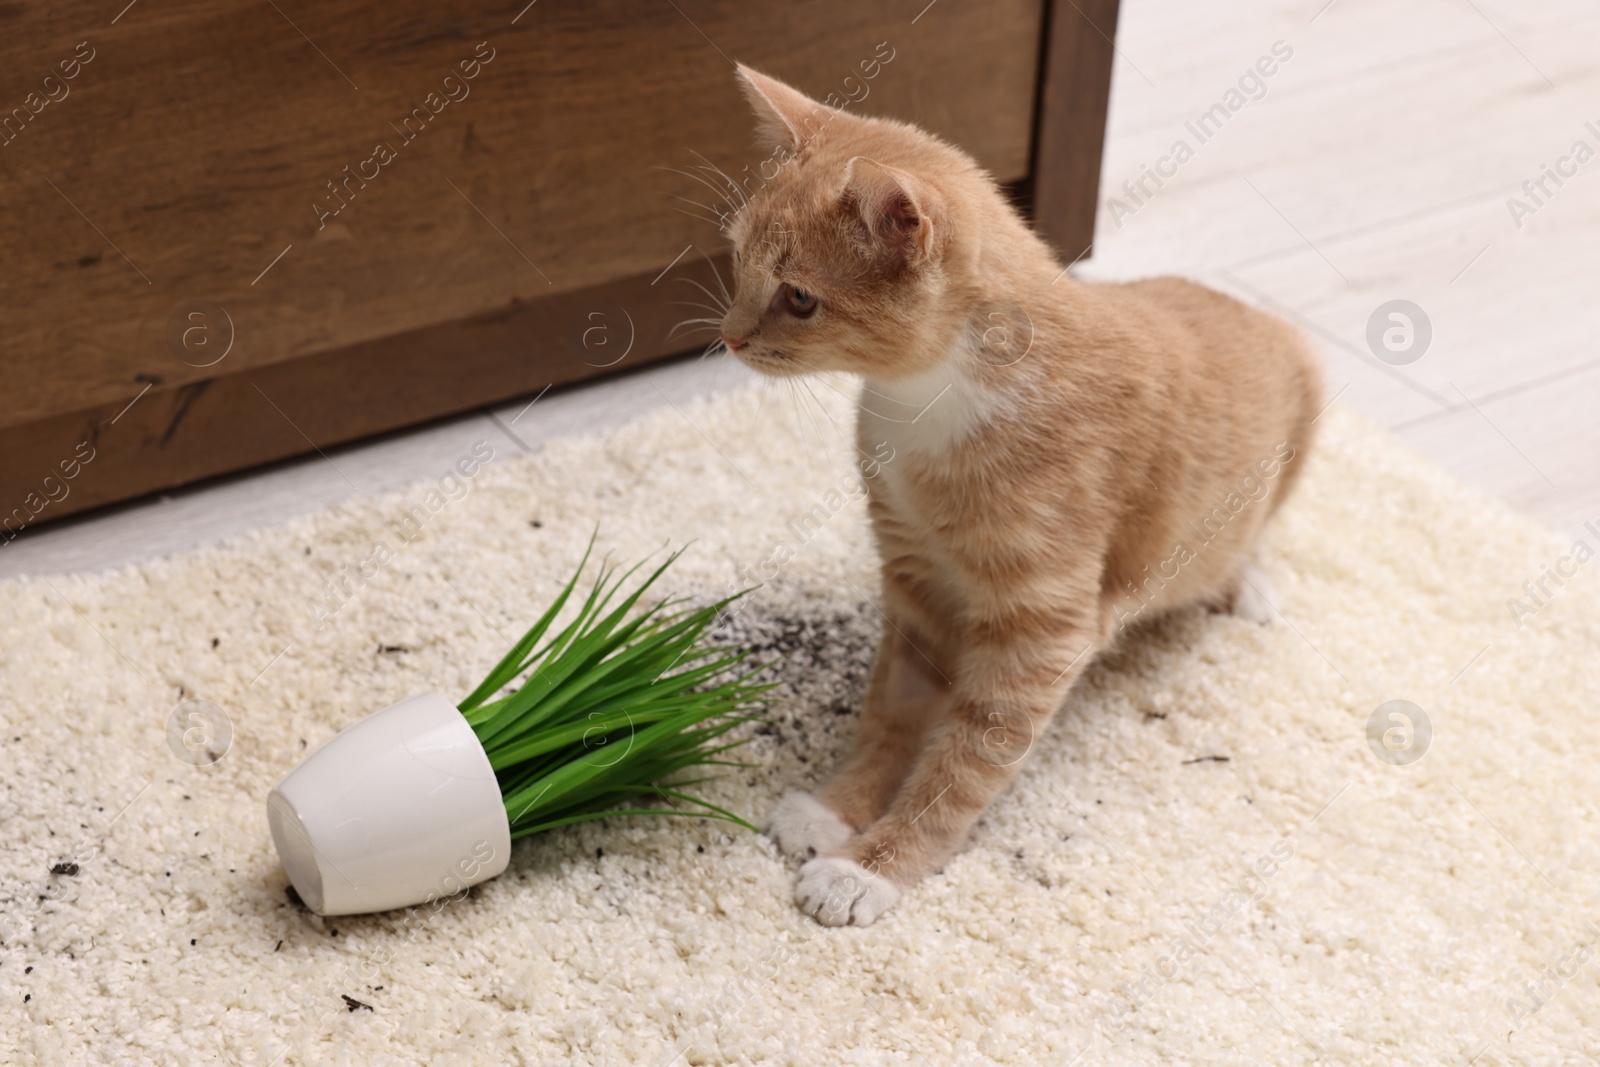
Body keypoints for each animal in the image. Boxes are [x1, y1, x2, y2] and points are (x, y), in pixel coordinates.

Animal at [716, 66, 1324, 921]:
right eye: (738, 257)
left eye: (800, 297)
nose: (729, 334)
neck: (924, 409)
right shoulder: (916, 584)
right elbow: (891, 714)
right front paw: (838, 807)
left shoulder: (1039, 629)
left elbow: (964, 760)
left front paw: (873, 865)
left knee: (1248, 537)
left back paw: (1246, 585)